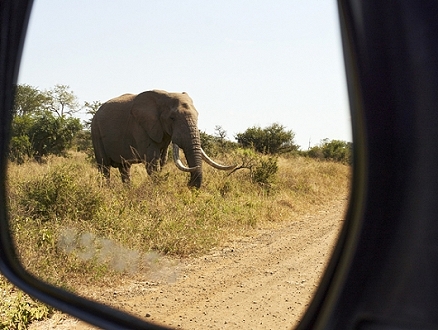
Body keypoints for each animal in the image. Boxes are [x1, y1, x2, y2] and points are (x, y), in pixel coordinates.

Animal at [90, 90, 236, 188]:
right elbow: (152, 160)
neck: (164, 96)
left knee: (124, 168)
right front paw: (157, 189)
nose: (189, 184)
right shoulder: (140, 127)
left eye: (198, 116)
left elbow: (163, 160)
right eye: (172, 118)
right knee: (104, 167)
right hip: (95, 131)